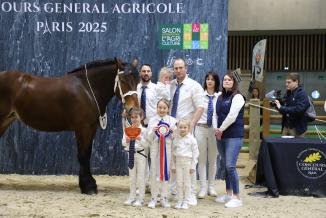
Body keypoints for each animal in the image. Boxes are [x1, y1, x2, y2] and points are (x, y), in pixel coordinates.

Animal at [0, 58, 139, 194]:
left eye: (138, 81)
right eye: (123, 80)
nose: (133, 109)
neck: (87, 89)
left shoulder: (91, 128)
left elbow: (87, 154)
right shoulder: (83, 128)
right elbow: (83, 155)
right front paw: (88, 187)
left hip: (6, 121)